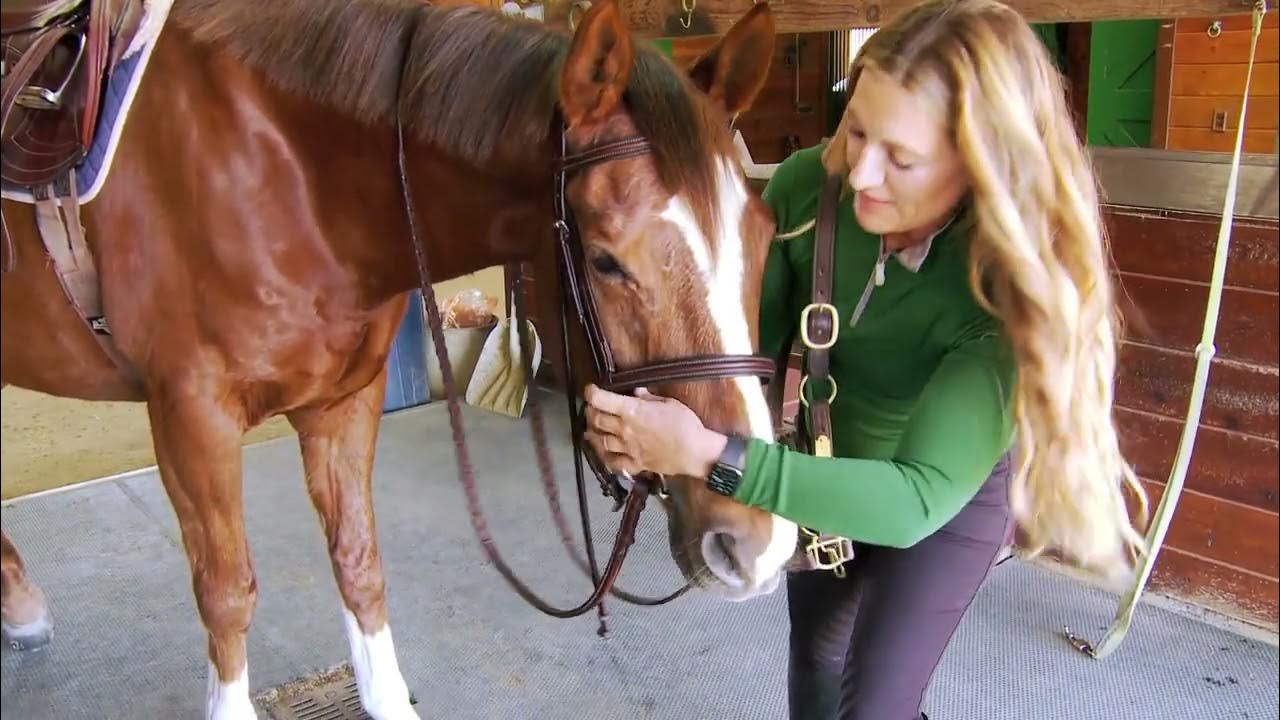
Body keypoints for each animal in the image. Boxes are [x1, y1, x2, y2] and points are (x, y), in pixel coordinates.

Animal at [0, 0, 797, 717]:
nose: (755, 544)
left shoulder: (344, 402)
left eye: (764, 235)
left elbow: (359, 564)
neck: (286, 176)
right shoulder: (192, 418)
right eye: (604, 260)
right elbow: (225, 592)